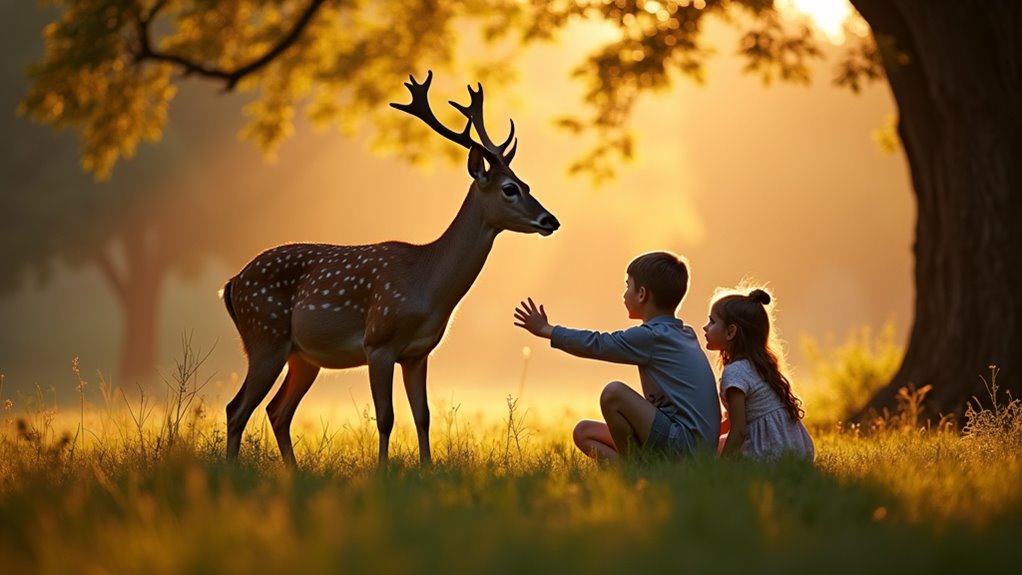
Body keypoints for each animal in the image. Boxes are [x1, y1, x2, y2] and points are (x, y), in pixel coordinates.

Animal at [221, 70, 559, 467]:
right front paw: (382, 473)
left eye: (526, 184)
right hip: (264, 334)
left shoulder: (417, 354)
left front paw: (427, 471)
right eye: (509, 188)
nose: (550, 220)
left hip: (301, 355)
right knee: (237, 408)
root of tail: (231, 284)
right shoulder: (378, 343)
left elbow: (423, 416)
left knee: (277, 411)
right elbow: (386, 417)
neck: (427, 287)